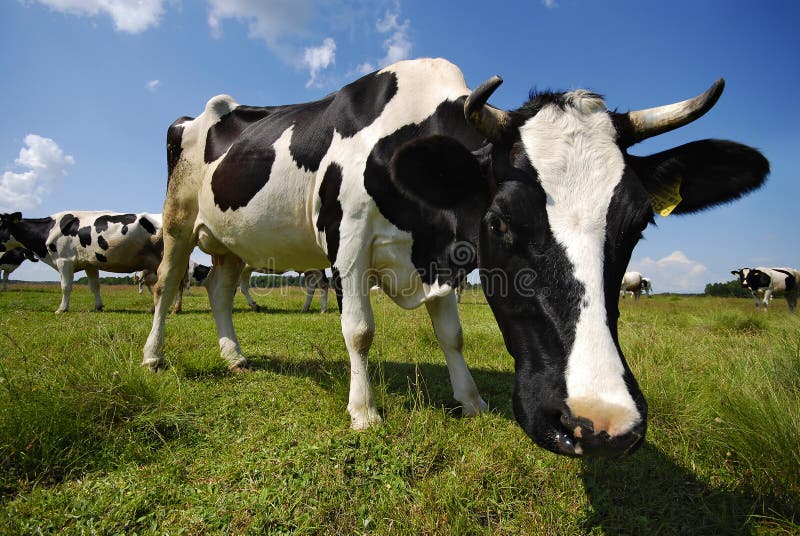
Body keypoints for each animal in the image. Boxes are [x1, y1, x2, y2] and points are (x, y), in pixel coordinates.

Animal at [0, 209, 164, 310]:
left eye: (0, 224)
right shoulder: (90, 264)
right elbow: (95, 286)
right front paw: (98, 306)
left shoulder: (64, 260)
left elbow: (65, 286)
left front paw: (62, 309)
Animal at [144, 58, 768, 456]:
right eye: (501, 221)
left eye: (638, 225)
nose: (600, 423)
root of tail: (210, 110)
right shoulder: (346, 243)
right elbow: (358, 331)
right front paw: (364, 412)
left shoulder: (445, 259)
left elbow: (452, 334)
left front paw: (470, 401)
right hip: (177, 220)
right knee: (166, 283)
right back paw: (153, 357)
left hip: (233, 242)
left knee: (218, 289)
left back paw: (234, 357)